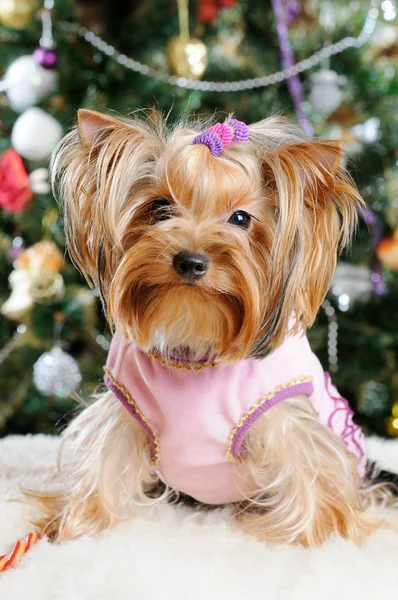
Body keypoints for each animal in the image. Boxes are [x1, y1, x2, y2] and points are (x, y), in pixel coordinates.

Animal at [26, 108, 384, 544]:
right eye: (160, 208)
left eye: (241, 218)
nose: (191, 261)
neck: (194, 333)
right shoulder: (126, 408)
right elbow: (103, 462)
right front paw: (71, 526)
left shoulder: (290, 420)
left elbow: (315, 478)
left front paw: (316, 537)